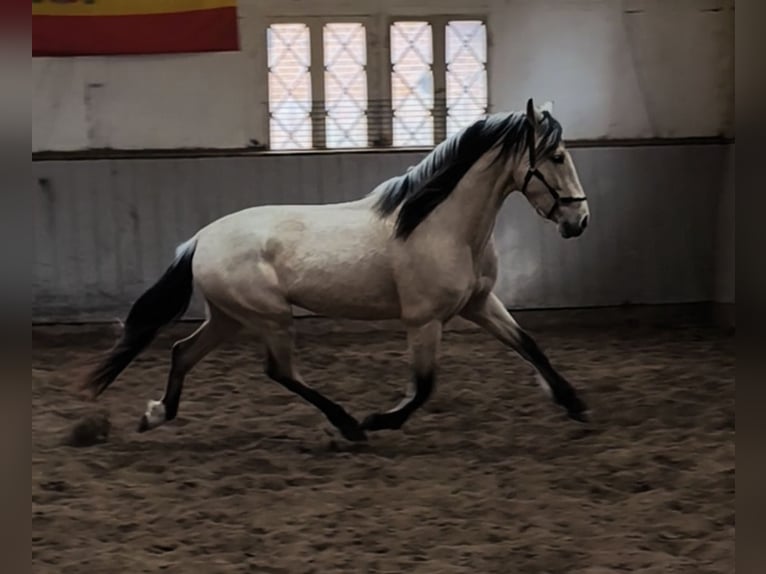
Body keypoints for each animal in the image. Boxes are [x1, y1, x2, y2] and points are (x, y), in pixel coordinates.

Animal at [82, 98, 591, 443]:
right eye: (557, 157)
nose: (579, 220)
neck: (440, 225)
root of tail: (199, 240)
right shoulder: (424, 320)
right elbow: (424, 386)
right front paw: (380, 420)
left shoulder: (480, 303)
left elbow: (530, 345)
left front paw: (575, 404)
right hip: (270, 316)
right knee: (279, 371)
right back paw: (348, 425)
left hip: (229, 316)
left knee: (183, 352)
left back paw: (156, 414)